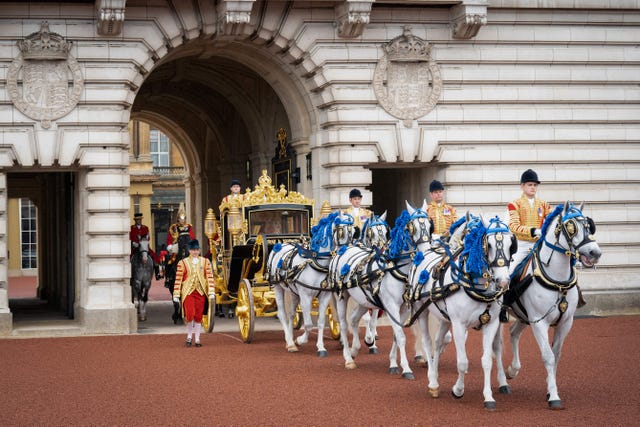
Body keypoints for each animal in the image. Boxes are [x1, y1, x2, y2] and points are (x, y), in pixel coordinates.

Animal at [266, 212, 352, 356]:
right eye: (341, 230)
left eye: (353, 231)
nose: (348, 251)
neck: (316, 262)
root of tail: (279, 245)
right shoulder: (305, 296)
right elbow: (308, 324)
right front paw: (300, 340)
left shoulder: (324, 296)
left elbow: (321, 322)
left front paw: (321, 347)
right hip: (278, 287)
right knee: (282, 314)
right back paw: (290, 342)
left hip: (293, 293)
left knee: (291, 314)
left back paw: (291, 341)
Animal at [330, 201, 436, 378]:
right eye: (412, 227)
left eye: (430, 226)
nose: (425, 253)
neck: (398, 268)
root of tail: (344, 248)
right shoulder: (391, 305)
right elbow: (400, 336)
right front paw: (406, 368)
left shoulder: (403, 308)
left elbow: (396, 335)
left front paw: (393, 363)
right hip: (341, 296)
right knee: (344, 324)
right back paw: (348, 358)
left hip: (364, 300)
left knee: (354, 319)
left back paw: (356, 349)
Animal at [408, 214, 516, 412]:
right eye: (488, 244)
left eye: (510, 244)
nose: (503, 281)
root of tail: (424, 252)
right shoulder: (459, 325)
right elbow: (462, 362)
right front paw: (458, 390)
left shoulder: (491, 324)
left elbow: (487, 360)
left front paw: (488, 397)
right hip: (422, 311)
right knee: (427, 342)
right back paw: (432, 381)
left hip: (444, 318)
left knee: (437, 343)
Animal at [502, 202, 604, 410]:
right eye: (571, 227)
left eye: (589, 225)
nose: (595, 253)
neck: (558, 281)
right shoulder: (539, 323)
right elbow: (548, 356)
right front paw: (554, 397)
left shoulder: (565, 322)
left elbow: (556, 356)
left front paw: (551, 389)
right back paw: (503, 383)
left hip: (523, 316)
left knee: (513, 333)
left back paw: (512, 370)